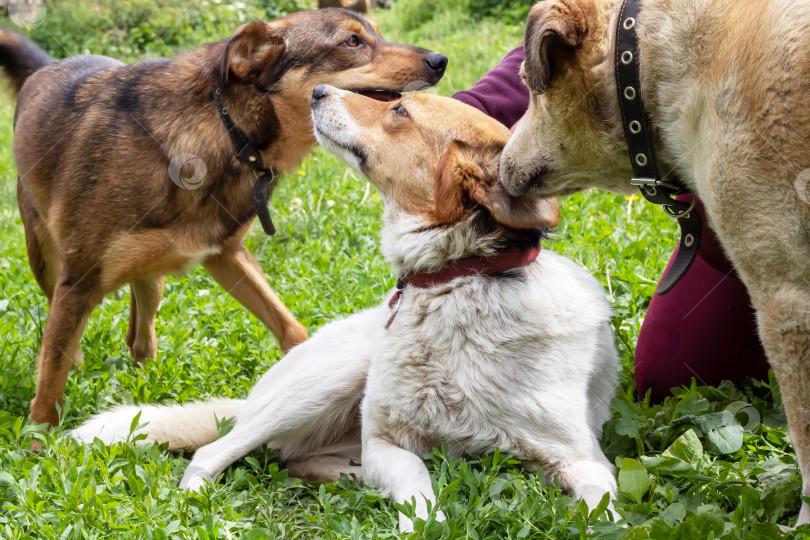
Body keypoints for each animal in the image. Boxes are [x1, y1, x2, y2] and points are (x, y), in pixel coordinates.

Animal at [0, 8, 448, 428]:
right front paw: (40, 439)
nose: (440, 60)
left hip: (152, 277)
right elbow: (51, 377)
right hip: (46, 262)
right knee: (65, 334)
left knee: (139, 334)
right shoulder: (78, 283)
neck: (227, 127)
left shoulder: (226, 255)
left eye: (376, 33)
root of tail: (47, 67)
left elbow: (291, 328)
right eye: (352, 42)